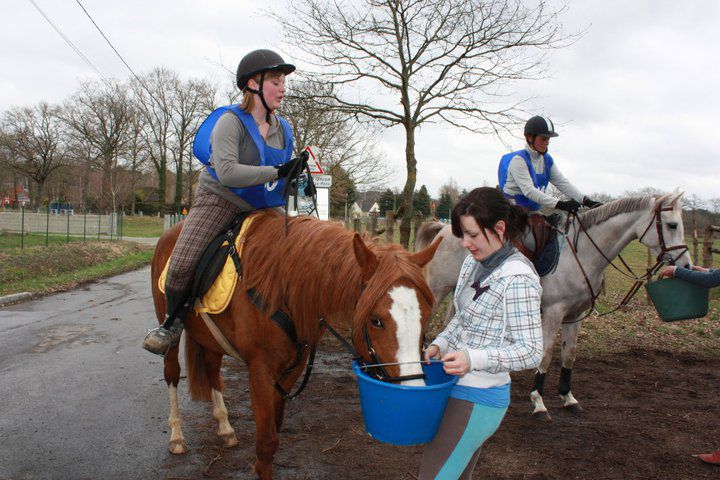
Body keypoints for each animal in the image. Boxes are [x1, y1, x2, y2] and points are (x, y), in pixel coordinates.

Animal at [150, 211, 442, 479]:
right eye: (376, 320)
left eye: (426, 316)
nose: (414, 389)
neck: (280, 286)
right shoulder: (260, 370)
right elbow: (266, 441)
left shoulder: (294, 366)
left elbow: (274, 431)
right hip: (171, 330)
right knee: (172, 372)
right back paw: (176, 435)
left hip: (211, 339)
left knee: (212, 370)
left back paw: (225, 427)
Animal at [415, 191, 690, 420]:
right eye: (672, 225)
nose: (686, 264)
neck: (584, 254)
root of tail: (443, 228)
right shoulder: (553, 313)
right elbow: (546, 355)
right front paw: (538, 401)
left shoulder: (576, 314)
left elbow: (569, 354)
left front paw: (568, 397)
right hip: (438, 289)